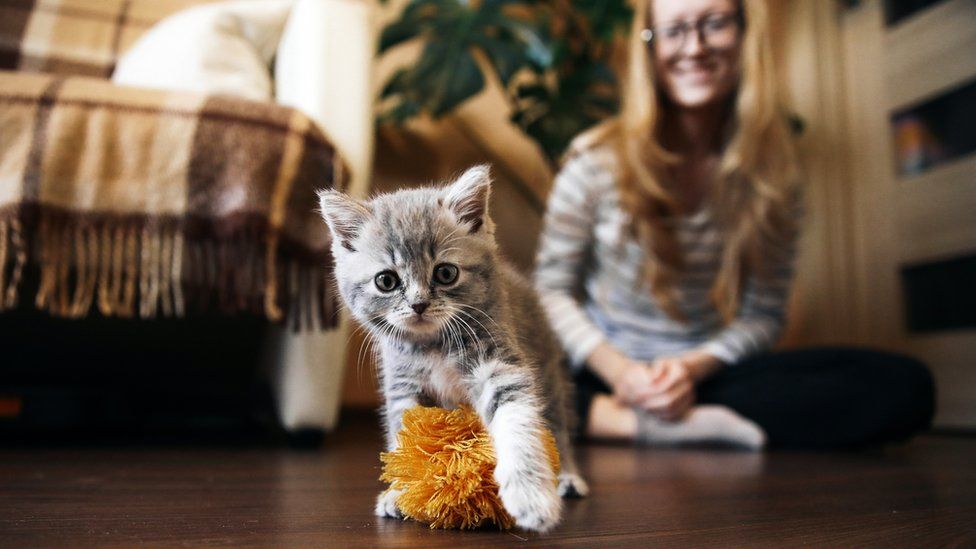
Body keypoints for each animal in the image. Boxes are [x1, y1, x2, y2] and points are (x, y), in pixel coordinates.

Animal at [318, 166, 588, 532]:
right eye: (386, 281)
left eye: (445, 273)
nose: (418, 304)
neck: (433, 345)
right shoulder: (403, 383)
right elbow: (405, 437)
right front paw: (400, 492)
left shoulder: (497, 361)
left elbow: (517, 421)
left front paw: (530, 493)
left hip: (547, 369)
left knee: (557, 423)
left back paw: (568, 477)